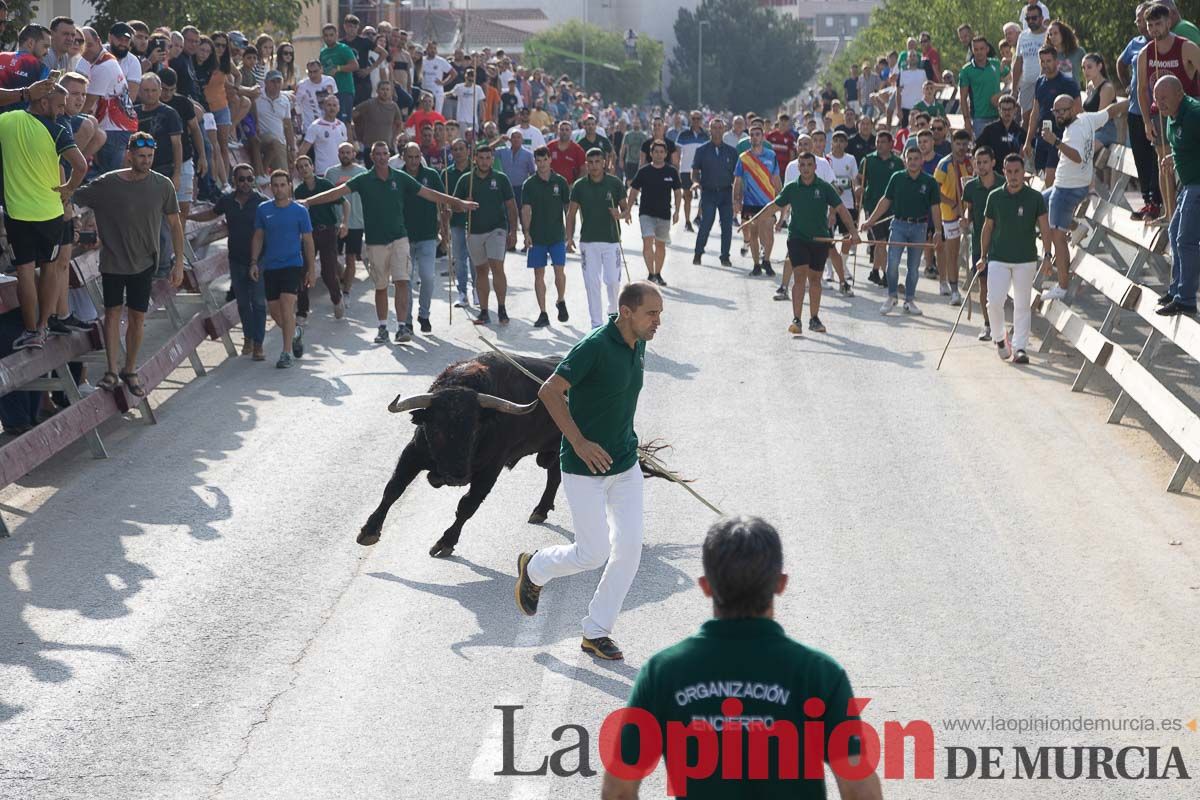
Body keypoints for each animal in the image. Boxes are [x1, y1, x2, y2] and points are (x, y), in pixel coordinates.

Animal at [357, 352, 564, 561]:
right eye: (437, 429)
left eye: (474, 430)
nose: (457, 477)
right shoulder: (413, 452)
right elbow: (393, 489)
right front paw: (369, 531)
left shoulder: (490, 469)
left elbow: (467, 505)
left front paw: (446, 542)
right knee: (554, 477)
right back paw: (541, 510)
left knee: (554, 478)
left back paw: (540, 510)